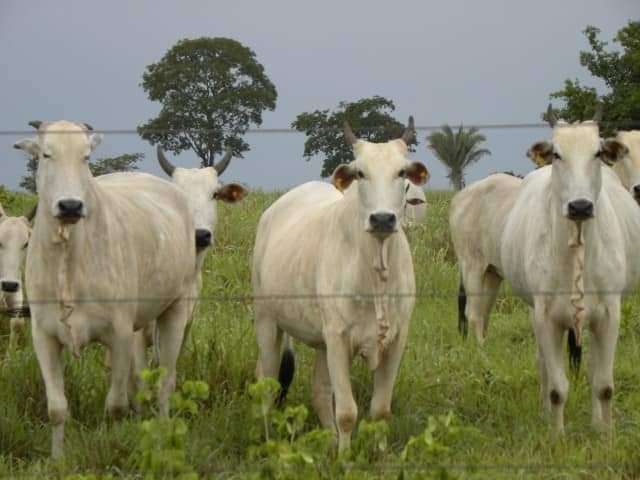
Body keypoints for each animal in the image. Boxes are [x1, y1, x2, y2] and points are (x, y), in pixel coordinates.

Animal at [13, 121, 198, 458]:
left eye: (86, 157)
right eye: (46, 154)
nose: (70, 205)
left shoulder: (120, 334)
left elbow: (115, 406)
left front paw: (116, 445)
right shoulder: (43, 336)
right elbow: (57, 408)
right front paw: (57, 459)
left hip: (176, 308)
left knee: (166, 381)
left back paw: (163, 433)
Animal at [251, 116, 430, 450]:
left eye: (402, 172)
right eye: (360, 172)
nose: (382, 219)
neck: (376, 272)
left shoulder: (396, 339)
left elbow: (380, 409)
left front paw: (378, 453)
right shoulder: (337, 337)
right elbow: (347, 412)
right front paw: (346, 456)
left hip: (320, 342)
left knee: (320, 392)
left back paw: (330, 440)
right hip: (268, 323)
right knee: (266, 383)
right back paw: (269, 437)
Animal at [502, 114, 636, 434]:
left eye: (597, 153)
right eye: (557, 155)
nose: (580, 206)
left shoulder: (610, 315)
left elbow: (604, 385)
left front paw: (605, 433)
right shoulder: (545, 317)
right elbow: (557, 389)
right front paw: (557, 435)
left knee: (593, 367)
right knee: (542, 366)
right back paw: (543, 414)